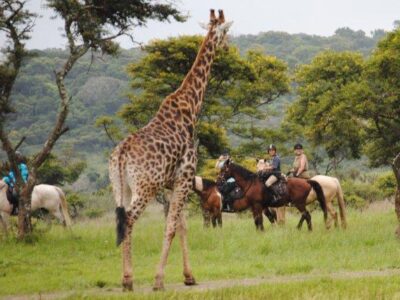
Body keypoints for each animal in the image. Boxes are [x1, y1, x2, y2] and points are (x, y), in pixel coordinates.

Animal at [108, 9, 234, 290]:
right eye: (226, 32)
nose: (228, 48)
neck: (190, 107)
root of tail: (120, 155)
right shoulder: (185, 177)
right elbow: (172, 226)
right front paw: (159, 280)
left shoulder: (173, 182)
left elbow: (181, 225)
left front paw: (189, 276)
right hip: (145, 187)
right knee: (129, 219)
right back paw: (128, 279)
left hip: (121, 187)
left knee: (120, 219)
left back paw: (126, 278)